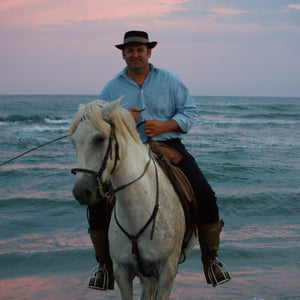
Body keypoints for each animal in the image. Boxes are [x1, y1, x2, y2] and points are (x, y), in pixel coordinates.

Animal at [69, 99, 198, 298]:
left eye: (99, 138)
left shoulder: (167, 272)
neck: (138, 212)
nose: (81, 192)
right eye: (74, 142)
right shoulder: (122, 272)